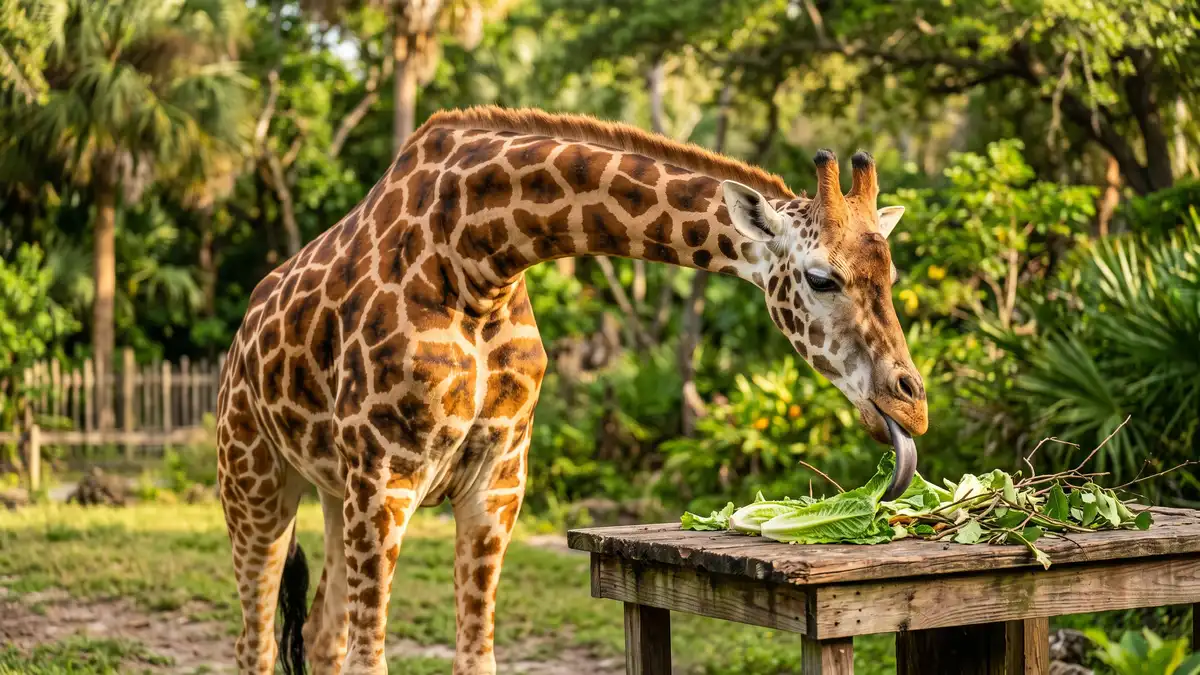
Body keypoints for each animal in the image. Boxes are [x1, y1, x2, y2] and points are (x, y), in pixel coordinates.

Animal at [215, 106, 929, 675]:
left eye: (892, 275)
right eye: (821, 278)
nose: (911, 404)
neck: (479, 258)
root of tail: (241, 335)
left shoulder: (497, 482)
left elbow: (477, 658)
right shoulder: (386, 478)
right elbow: (372, 660)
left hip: (336, 493)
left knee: (317, 633)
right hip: (256, 482)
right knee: (256, 641)